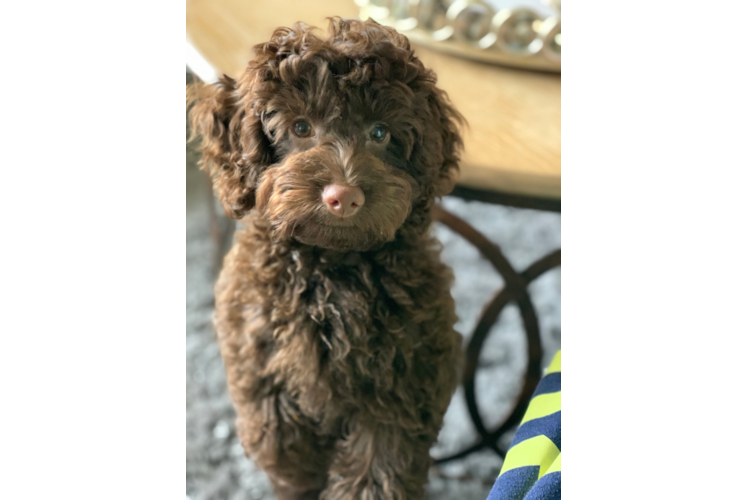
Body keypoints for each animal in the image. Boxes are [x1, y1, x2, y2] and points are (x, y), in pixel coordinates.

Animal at [186, 17, 464, 498]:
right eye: (300, 128)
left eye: (380, 133)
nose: (343, 196)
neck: (331, 266)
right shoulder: (262, 371)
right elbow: (282, 445)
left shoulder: (404, 385)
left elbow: (378, 470)